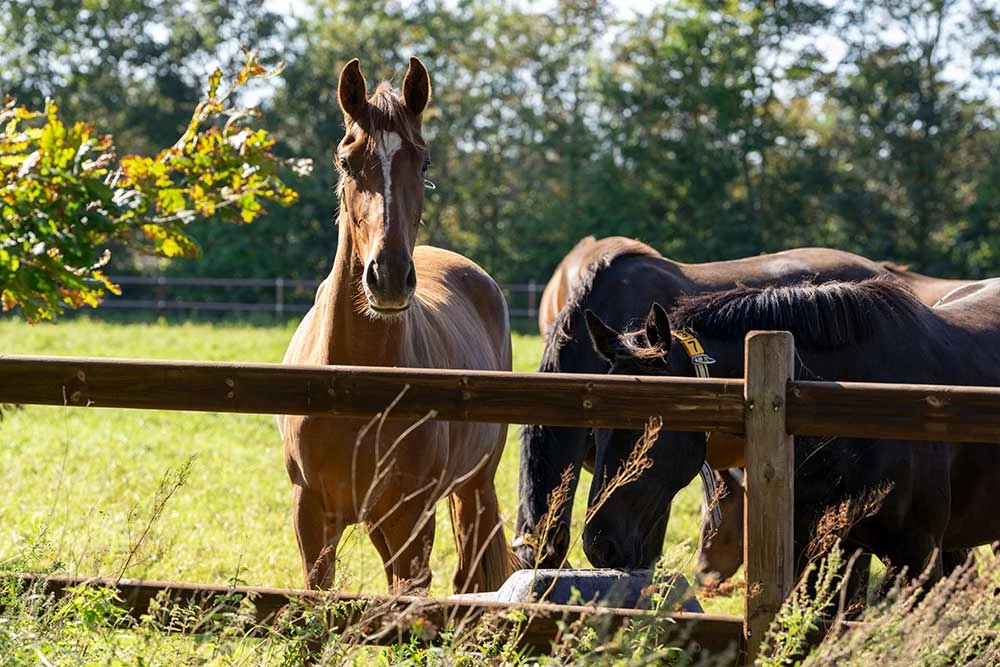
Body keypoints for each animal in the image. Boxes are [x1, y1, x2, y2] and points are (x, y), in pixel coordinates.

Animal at [282, 57, 516, 596]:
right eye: (346, 161)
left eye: (423, 162)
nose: (387, 276)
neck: (353, 381)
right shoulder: (312, 513)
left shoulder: (411, 516)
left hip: (473, 487)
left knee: (469, 579)